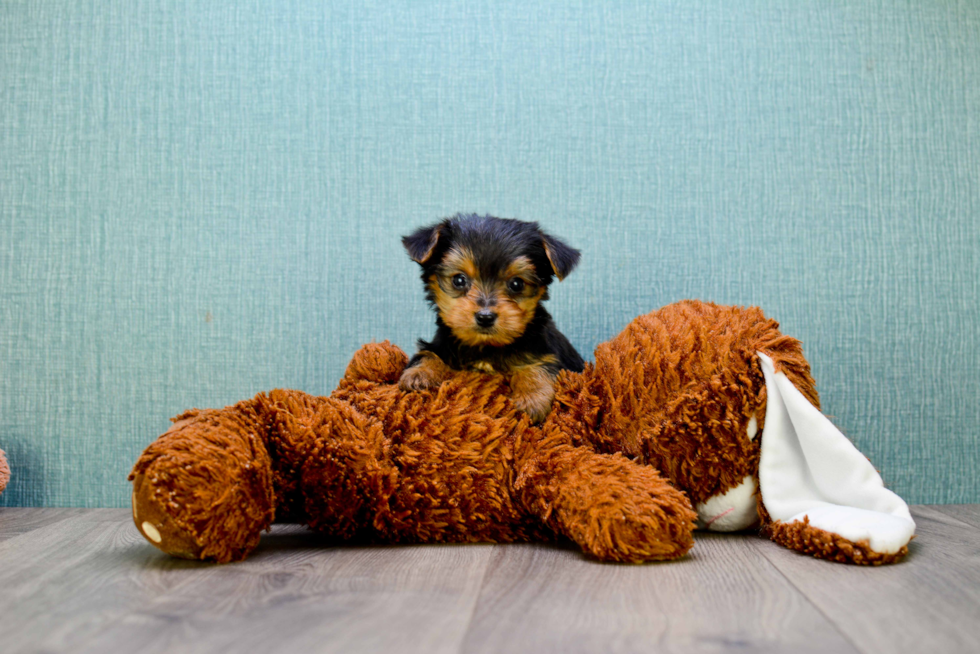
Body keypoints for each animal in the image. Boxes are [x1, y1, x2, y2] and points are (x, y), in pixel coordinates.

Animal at [398, 213, 580, 422]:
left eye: (517, 284)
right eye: (459, 280)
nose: (485, 317)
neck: (485, 346)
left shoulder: (547, 352)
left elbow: (540, 365)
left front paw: (532, 398)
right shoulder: (442, 345)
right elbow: (428, 353)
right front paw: (419, 374)